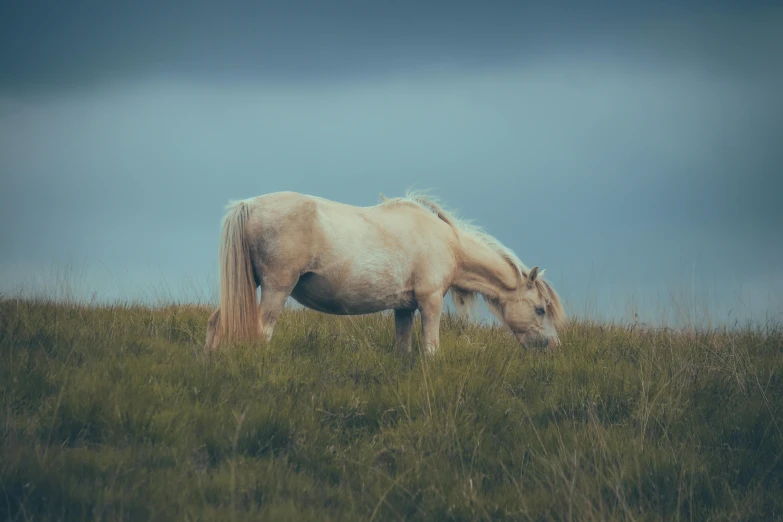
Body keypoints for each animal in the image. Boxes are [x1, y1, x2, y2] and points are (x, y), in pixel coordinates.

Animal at [205, 191, 568, 354]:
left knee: (216, 324)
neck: (447, 243)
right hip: (276, 289)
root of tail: (250, 204)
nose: (553, 345)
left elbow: (402, 349)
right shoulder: (430, 302)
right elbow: (431, 348)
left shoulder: (403, 308)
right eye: (540, 309)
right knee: (261, 331)